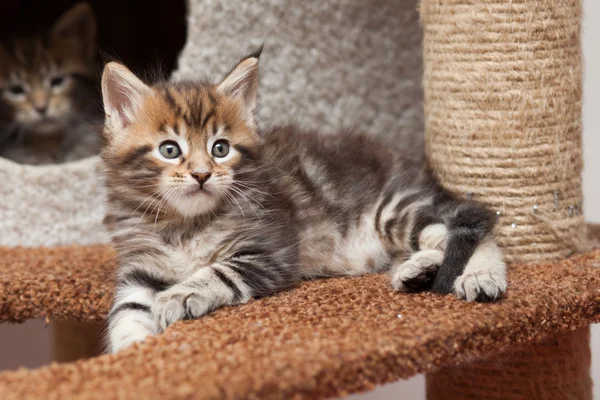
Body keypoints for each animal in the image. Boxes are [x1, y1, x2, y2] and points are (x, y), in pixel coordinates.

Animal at [102, 50, 506, 354]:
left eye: (220, 149)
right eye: (170, 150)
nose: (202, 175)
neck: (185, 224)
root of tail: (421, 172)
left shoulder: (271, 252)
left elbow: (217, 271)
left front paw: (180, 294)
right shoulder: (141, 266)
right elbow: (126, 308)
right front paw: (131, 352)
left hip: (393, 209)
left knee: (468, 231)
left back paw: (481, 276)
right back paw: (417, 271)